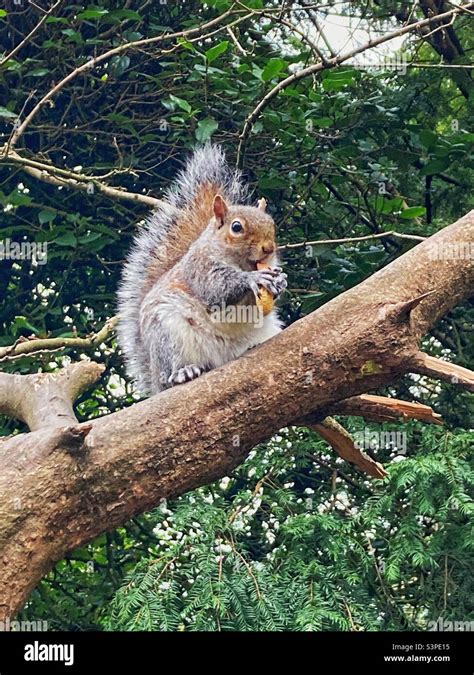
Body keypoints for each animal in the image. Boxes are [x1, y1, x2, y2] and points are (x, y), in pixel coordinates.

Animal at [117, 144, 288, 396]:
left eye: (272, 223)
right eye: (237, 227)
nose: (268, 248)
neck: (239, 261)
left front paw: (281, 281)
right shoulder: (199, 268)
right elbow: (216, 289)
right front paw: (252, 278)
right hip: (166, 331)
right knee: (171, 371)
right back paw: (182, 373)